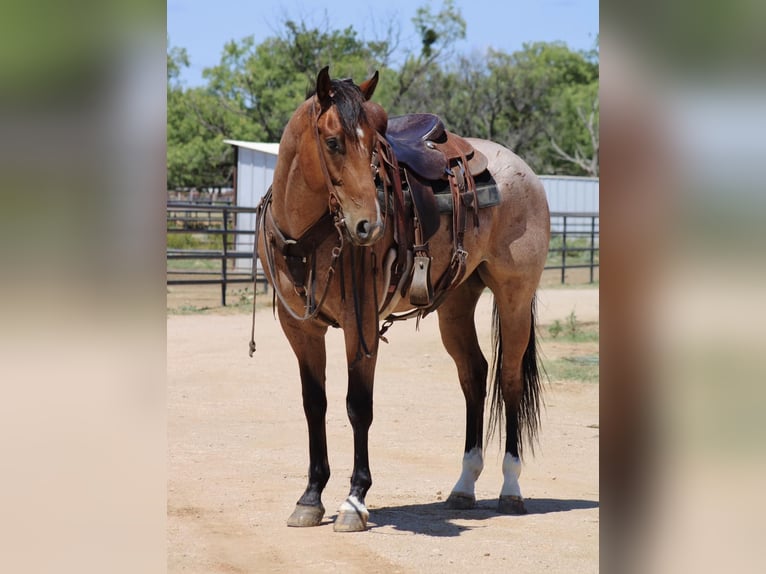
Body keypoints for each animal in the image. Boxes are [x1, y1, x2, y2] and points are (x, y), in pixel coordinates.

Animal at [256, 68, 552, 536]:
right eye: (333, 141)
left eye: (375, 145)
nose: (368, 225)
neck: (307, 233)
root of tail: (522, 169)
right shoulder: (300, 329)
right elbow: (314, 405)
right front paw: (310, 498)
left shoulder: (360, 326)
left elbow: (358, 407)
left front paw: (354, 501)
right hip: (456, 302)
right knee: (474, 374)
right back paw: (464, 485)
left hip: (515, 296)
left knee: (509, 381)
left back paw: (511, 488)